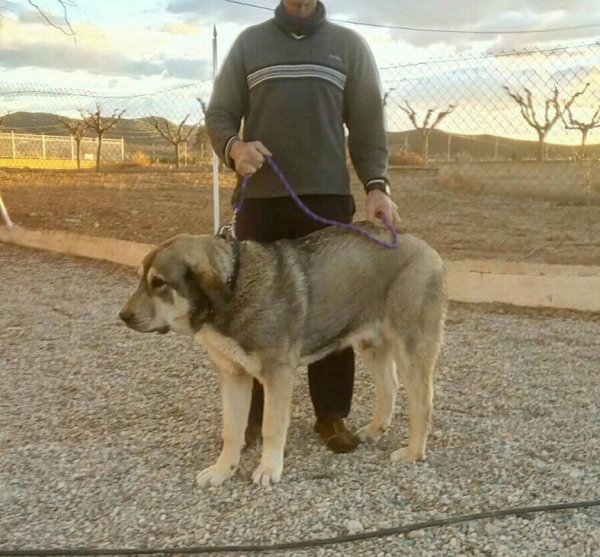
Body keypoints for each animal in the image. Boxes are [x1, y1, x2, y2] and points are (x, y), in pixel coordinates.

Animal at [119, 222, 446, 486]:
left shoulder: (277, 376)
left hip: (411, 348)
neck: (235, 286)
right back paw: (376, 430)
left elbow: (272, 427)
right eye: (141, 279)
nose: (123, 316)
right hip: (371, 345)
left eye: (159, 283)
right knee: (389, 387)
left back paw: (413, 453)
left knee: (422, 403)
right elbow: (232, 429)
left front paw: (268, 469)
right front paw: (223, 470)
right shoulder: (233, 376)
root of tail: (428, 249)